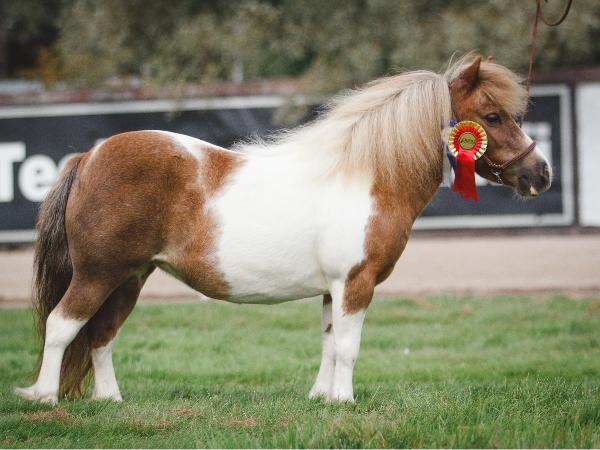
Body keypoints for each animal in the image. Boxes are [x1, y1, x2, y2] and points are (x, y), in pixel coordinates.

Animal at [15, 55, 551, 405]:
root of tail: (90, 156)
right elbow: (349, 347)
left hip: (130, 277)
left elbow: (330, 343)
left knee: (101, 334)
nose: (541, 174)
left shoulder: (333, 290)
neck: (365, 176)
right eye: (492, 116)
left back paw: (110, 402)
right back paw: (44, 398)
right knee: (62, 326)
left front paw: (323, 398)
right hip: (98, 273)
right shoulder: (355, 284)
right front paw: (345, 403)